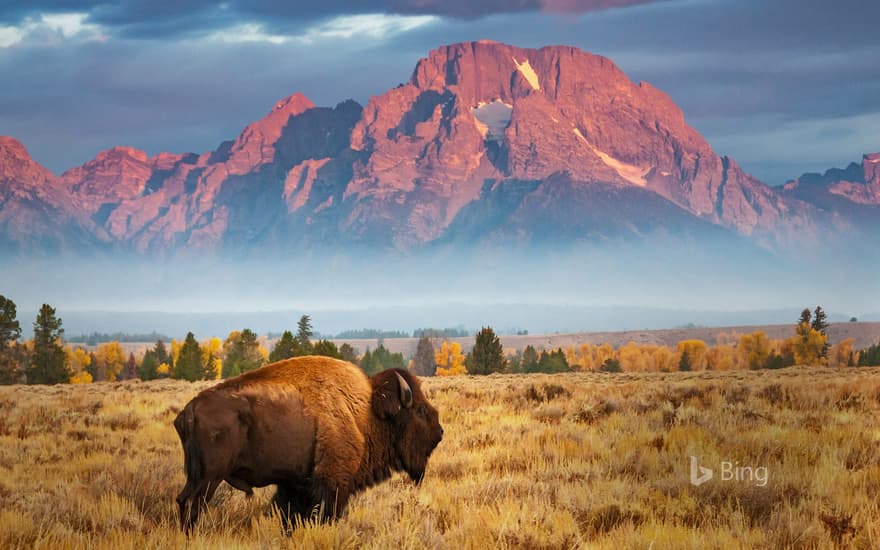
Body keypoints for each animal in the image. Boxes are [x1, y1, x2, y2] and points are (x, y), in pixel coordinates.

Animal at [172, 356, 444, 532]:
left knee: (183, 501)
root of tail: (188, 411)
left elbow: (289, 514)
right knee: (192, 503)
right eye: (420, 410)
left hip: (198, 477)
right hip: (209, 478)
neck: (367, 412)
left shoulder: (295, 483)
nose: (440, 432)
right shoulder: (333, 482)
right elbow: (326, 513)